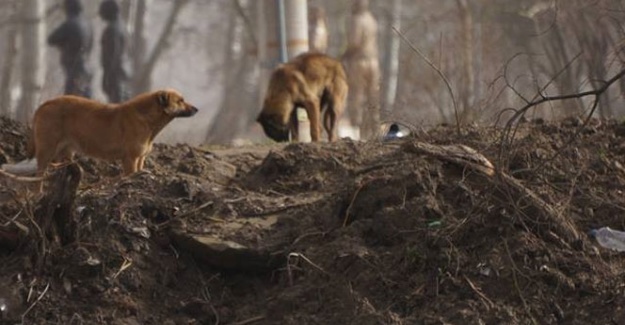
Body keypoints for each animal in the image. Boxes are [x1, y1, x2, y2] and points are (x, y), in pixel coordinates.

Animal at [26, 88, 196, 175]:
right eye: (180, 101)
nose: (196, 109)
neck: (147, 118)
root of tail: (45, 104)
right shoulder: (130, 159)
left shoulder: (140, 159)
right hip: (46, 150)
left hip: (65, 152)